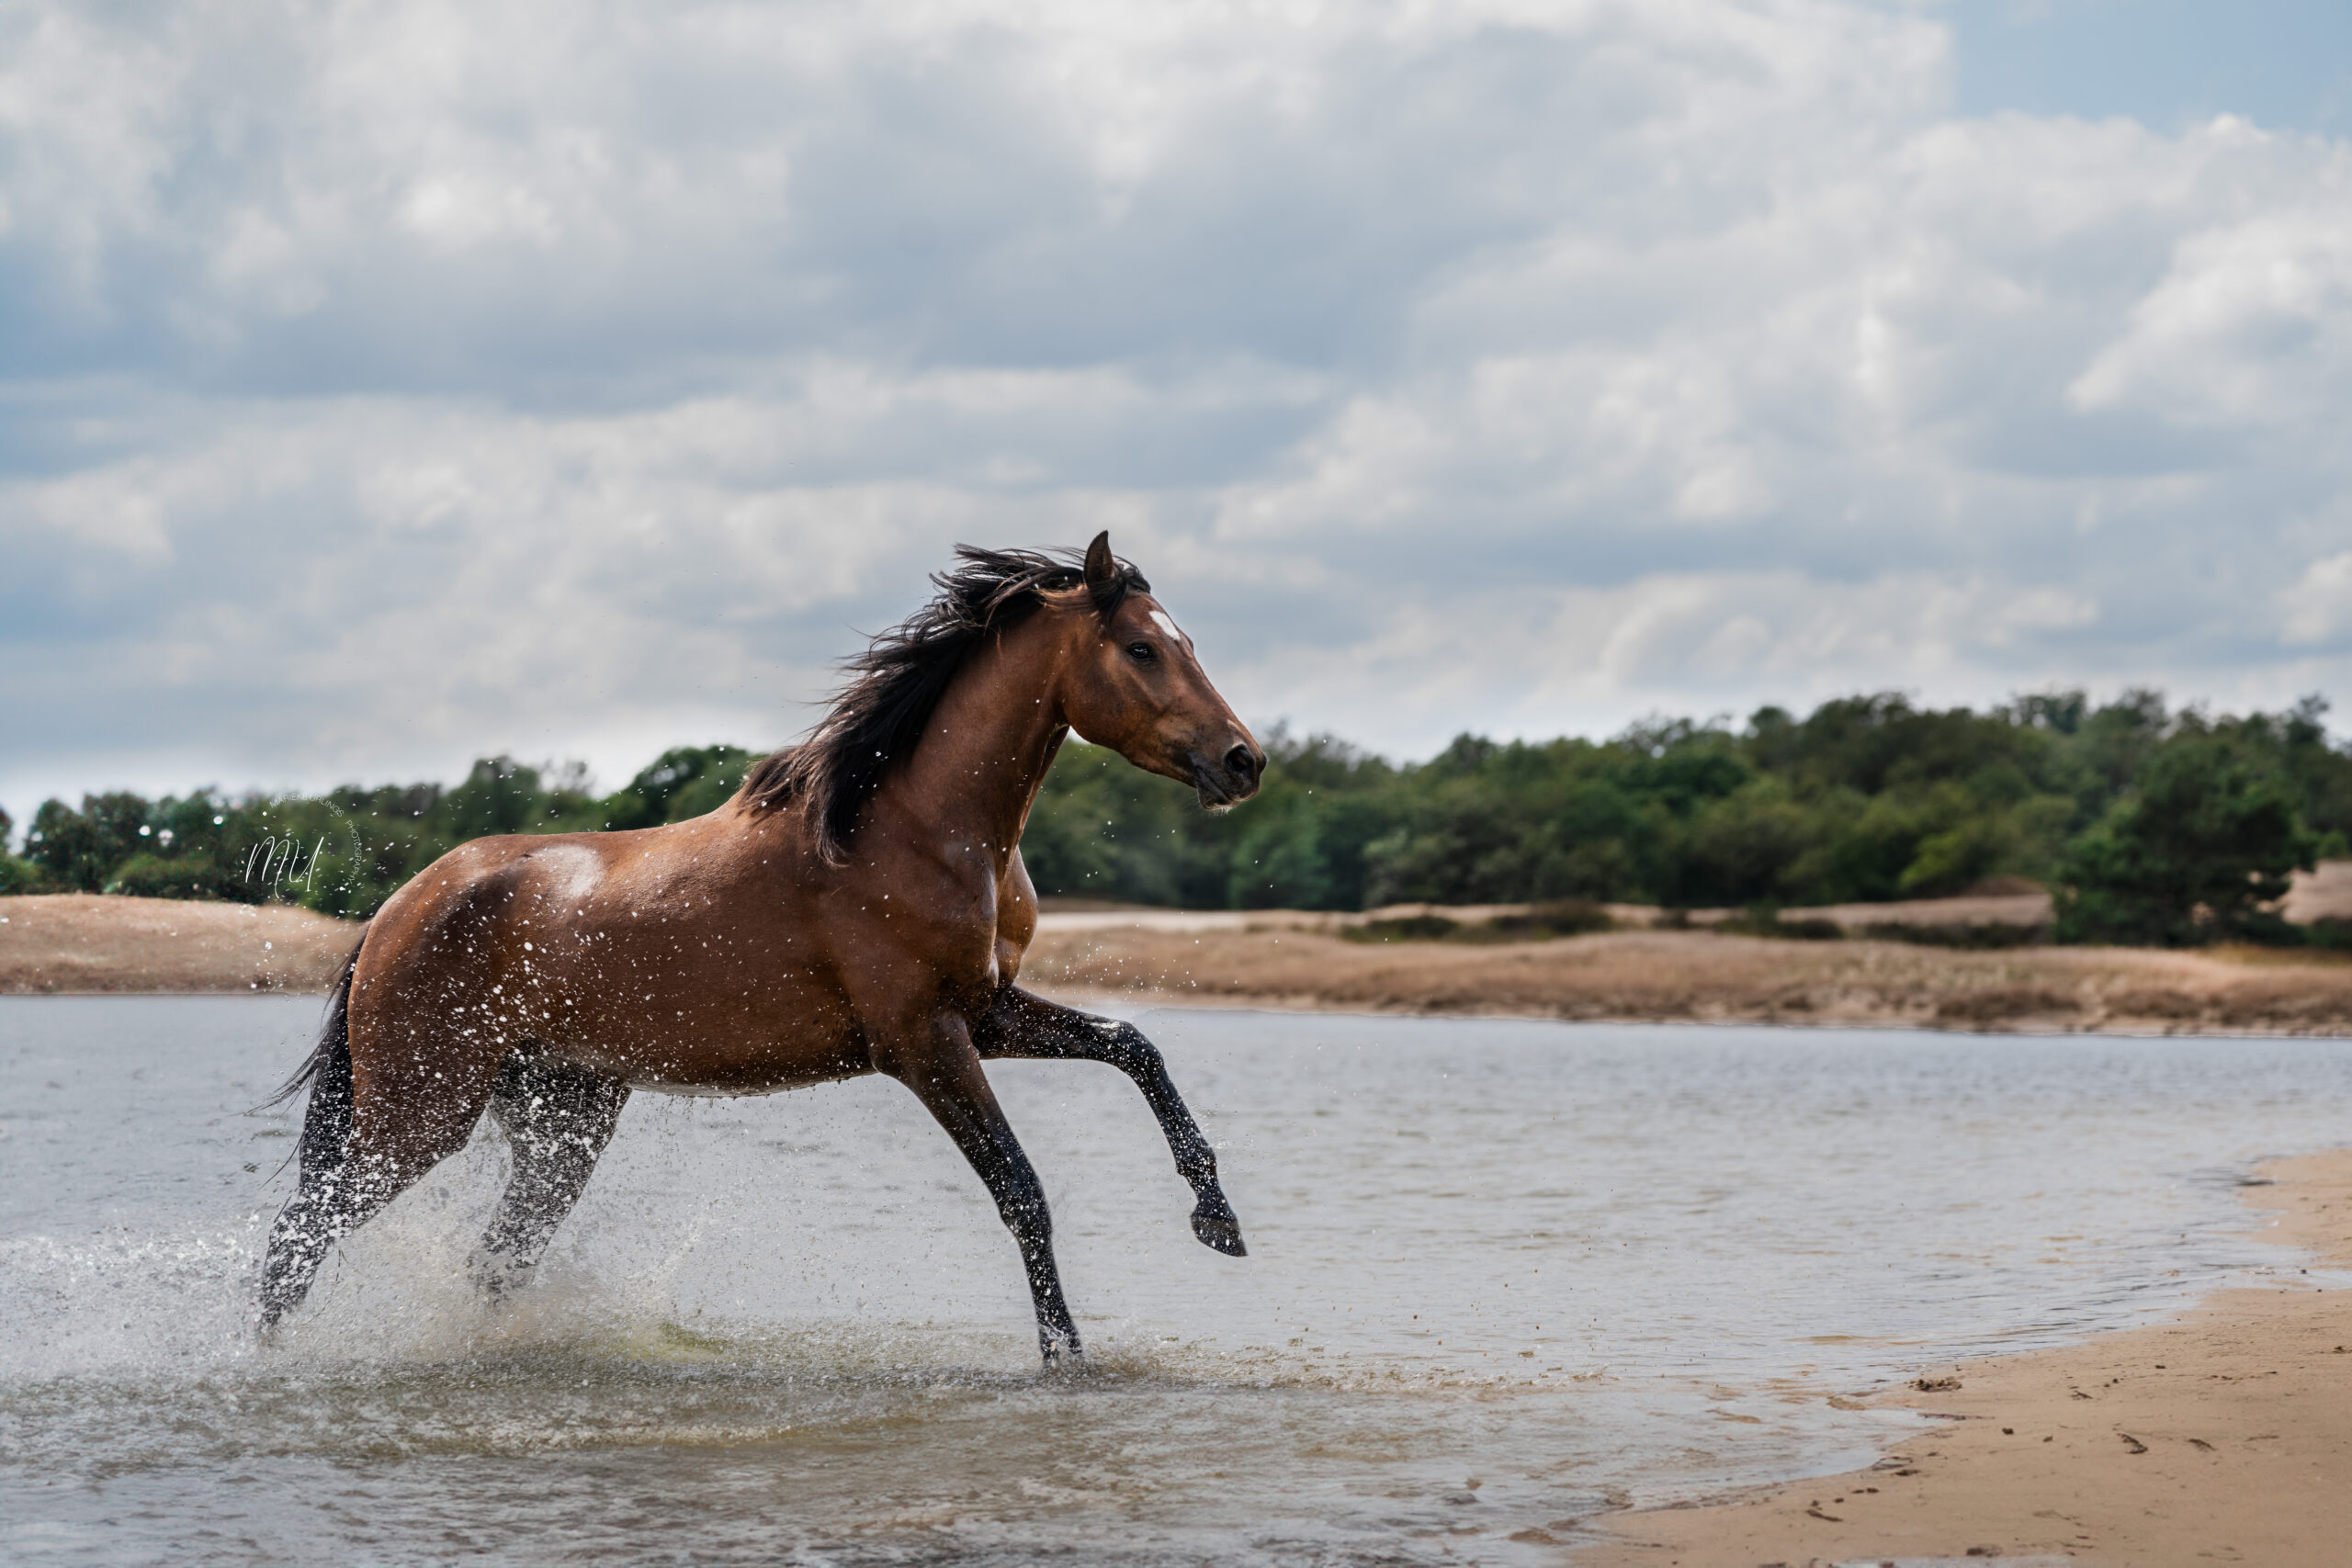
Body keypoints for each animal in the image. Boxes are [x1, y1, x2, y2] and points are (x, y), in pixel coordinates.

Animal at [259, 536, 1261, 1363]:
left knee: (488, 1262)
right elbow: (1022, 1191)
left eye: (1186, 642)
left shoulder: (987, 1012)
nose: (1242, 760)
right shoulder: (924, 1041)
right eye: (1141, 649)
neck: (920, 830)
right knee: (295, 1241)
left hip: (561, 1121)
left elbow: (1134, 1045)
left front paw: (1217, 1219)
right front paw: (1065, 1360)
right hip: (418, 1115)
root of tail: (396, 910)